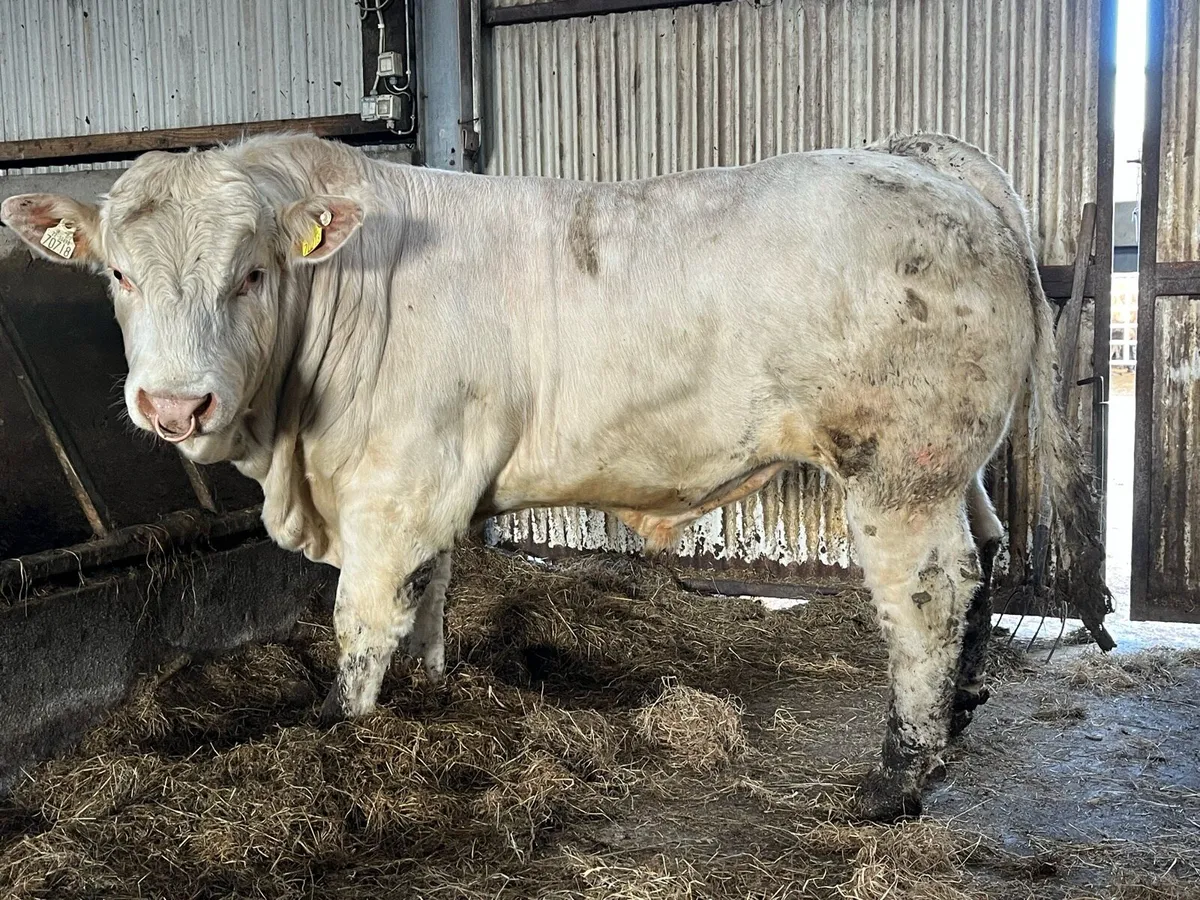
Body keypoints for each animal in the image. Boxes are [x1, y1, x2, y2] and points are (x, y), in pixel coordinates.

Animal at [0, 131, 1110, 822]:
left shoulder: (396, 481)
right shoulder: (432, 484)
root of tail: (925, 163)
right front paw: (432, 692)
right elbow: (430, 594)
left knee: (926, 593)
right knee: (986, 556)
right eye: (118, 273)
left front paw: (334, 732)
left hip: (898, 469)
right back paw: (958, 713)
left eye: (252, 273)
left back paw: (898, 776)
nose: (174, 404)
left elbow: (363, 616)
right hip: (952, 463)